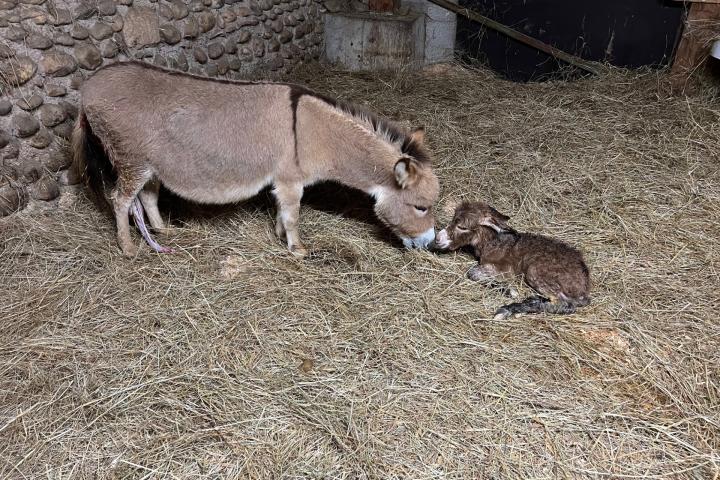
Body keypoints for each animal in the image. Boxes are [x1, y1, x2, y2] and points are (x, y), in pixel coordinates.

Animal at [434, 201, 592, 320]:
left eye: (462, 227)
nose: (437, 239)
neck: (491, 242)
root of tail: (583, 284)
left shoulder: (502, 270)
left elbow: (472, 272)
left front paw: (510, 291)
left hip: (535, 272)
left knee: (563, 305)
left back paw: (509, 310)